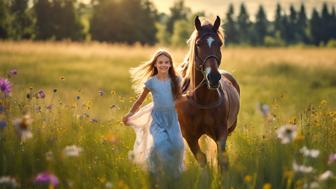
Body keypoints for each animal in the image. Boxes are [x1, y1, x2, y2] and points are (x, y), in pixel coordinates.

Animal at [175, 15, 240, 170]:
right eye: (198, 44)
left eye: (220, 43)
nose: (214, 77)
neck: (202, 100)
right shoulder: (190, 137)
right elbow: (202, 159)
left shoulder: (221, 133)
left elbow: (222, 159)